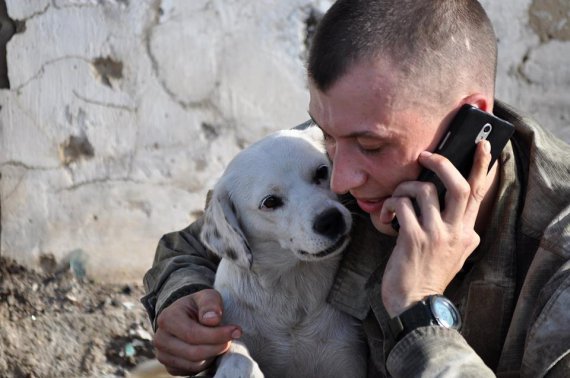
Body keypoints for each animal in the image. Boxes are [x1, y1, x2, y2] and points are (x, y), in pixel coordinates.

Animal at [200, 127, 364, 378]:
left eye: (321, 171)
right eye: (270, 202)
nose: (330, 220)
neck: (293, 284)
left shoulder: (344, 359)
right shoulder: (231, 328)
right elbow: (234, 350)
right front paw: (238, 370)